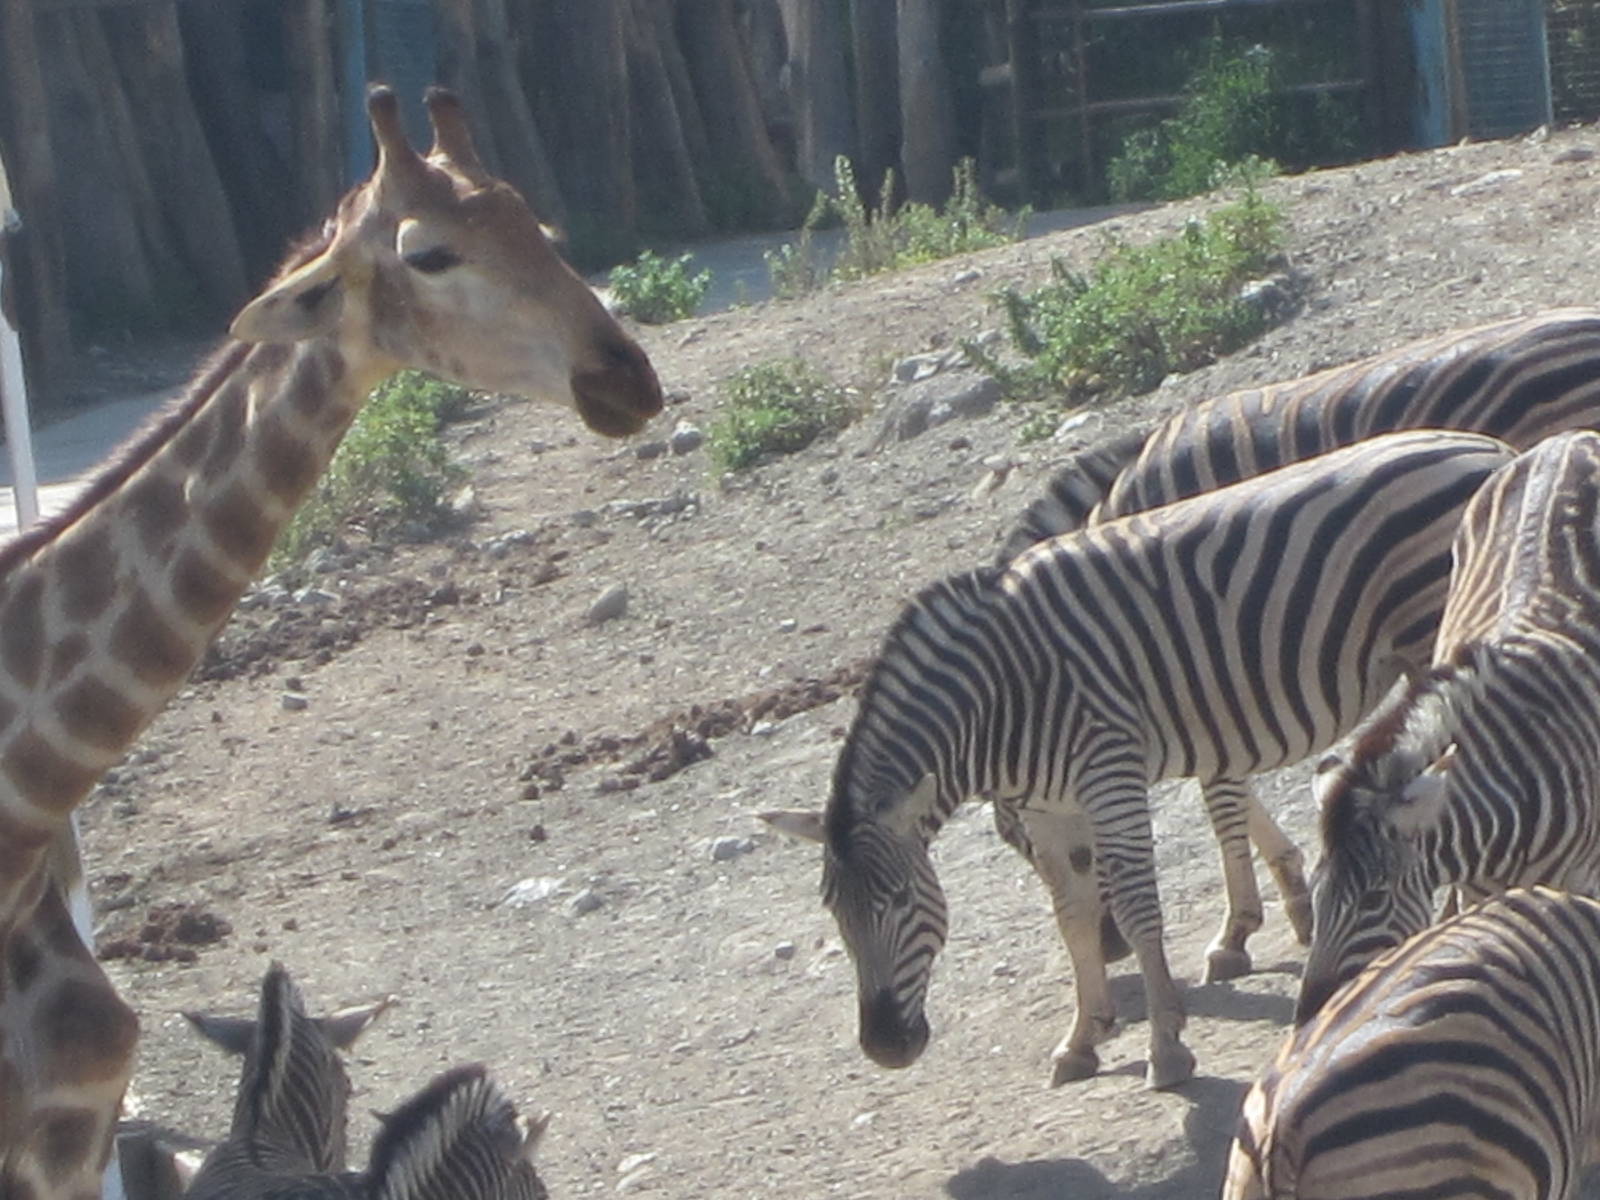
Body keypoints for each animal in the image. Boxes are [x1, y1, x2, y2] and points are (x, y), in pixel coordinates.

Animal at [765, 430, 1514, 1088]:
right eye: (834, 913)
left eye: (896, 901)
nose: (886, 1047)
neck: (995, 697)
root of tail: (1481, 446)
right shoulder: (1050, 808)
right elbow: (1070, 910)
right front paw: (1082, 1037)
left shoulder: (1109, 771)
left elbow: (1134, 902)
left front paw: (1166, 1047)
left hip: (1434, 635)